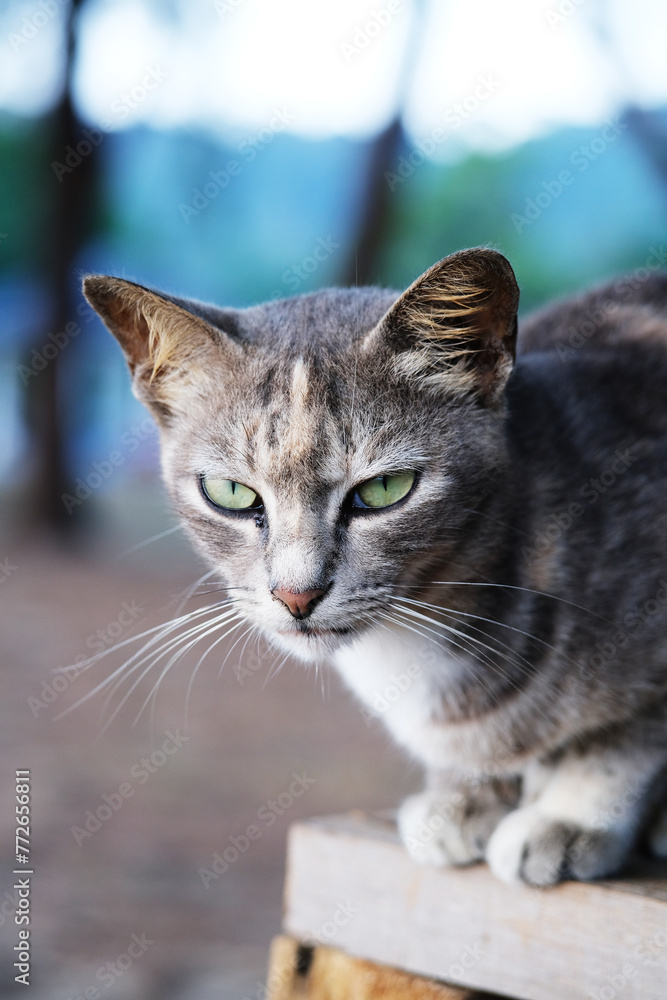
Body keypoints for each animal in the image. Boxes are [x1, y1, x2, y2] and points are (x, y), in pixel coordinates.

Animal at [82, 248, 667, 884]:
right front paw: (462, 798)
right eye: (230, 493)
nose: (296, 594)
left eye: (386, 489)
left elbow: (623, 737)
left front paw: (571, 815)